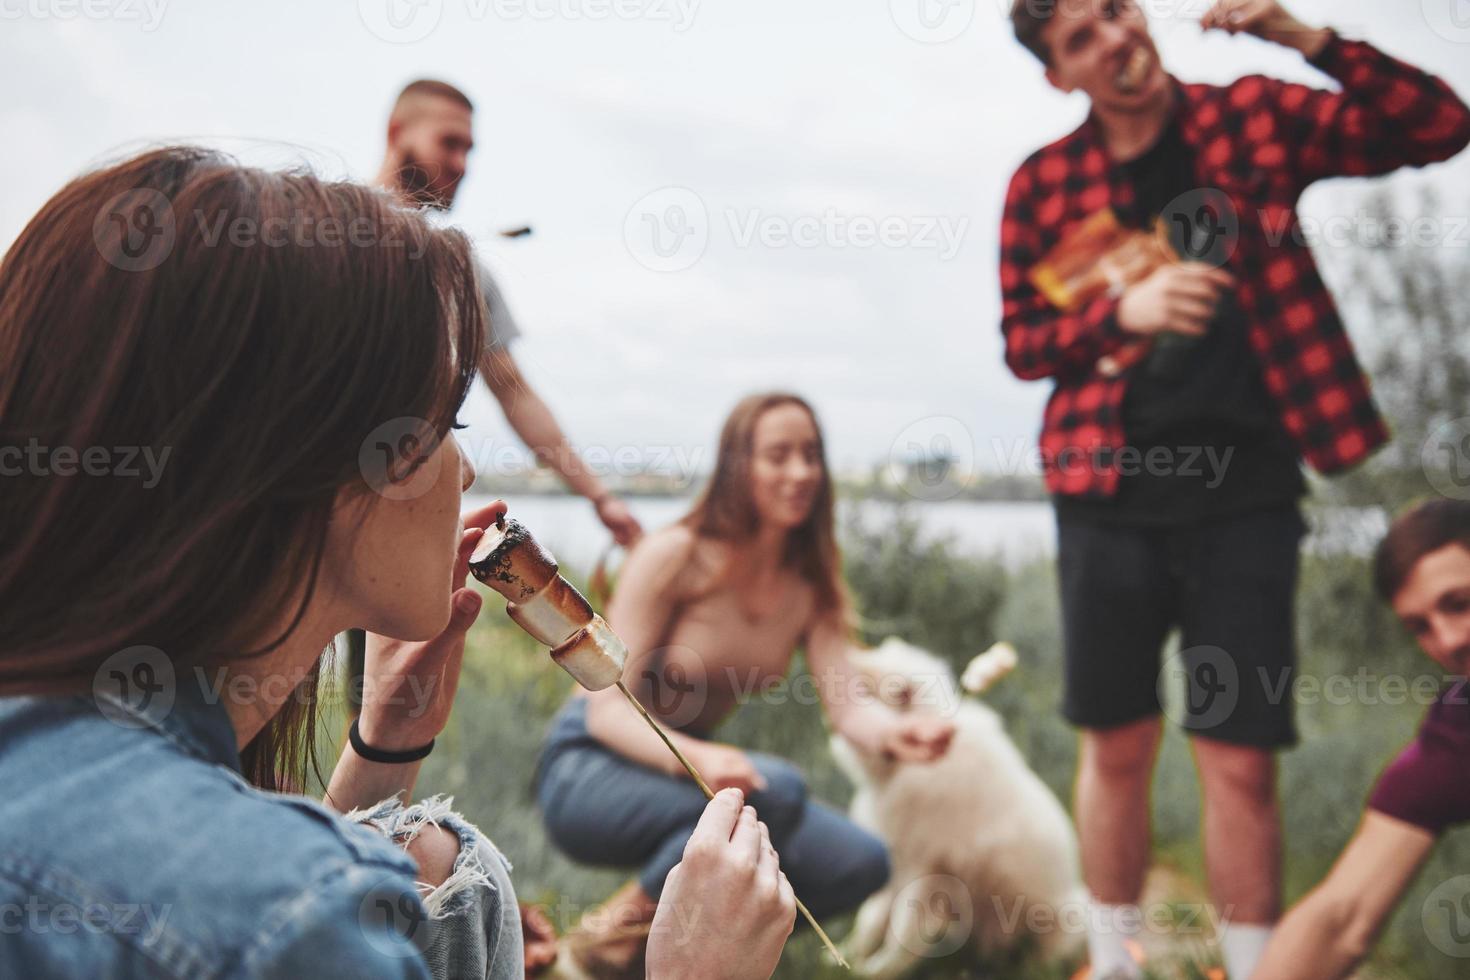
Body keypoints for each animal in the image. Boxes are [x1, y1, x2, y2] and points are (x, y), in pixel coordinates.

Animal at [834, 640, 1087, 975]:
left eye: (865, 685)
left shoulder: (921, 864)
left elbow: (900, 931)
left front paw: (873, 971)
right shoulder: (899, 858)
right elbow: (870, 920)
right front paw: (845, 958)